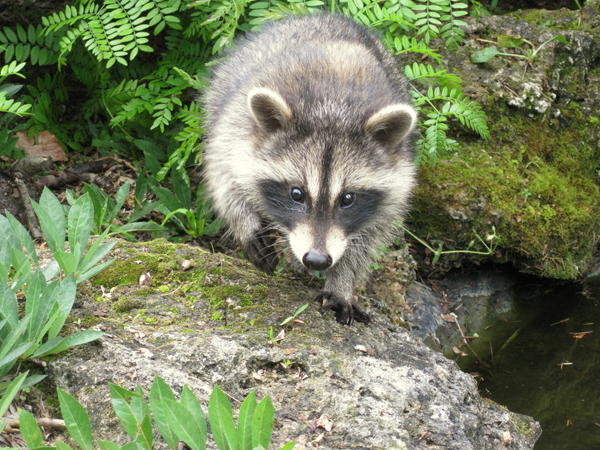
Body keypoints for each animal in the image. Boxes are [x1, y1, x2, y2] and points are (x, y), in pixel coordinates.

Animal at [204, 14, 414, 324]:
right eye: (296, 194)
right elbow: (222, 171)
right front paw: (244, 222)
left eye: (348, 198)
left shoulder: (397, 178)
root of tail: (327, 15)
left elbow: (370, 234)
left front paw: (342, 282)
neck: (334, 106)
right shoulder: (236, 124)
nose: (316, 260)